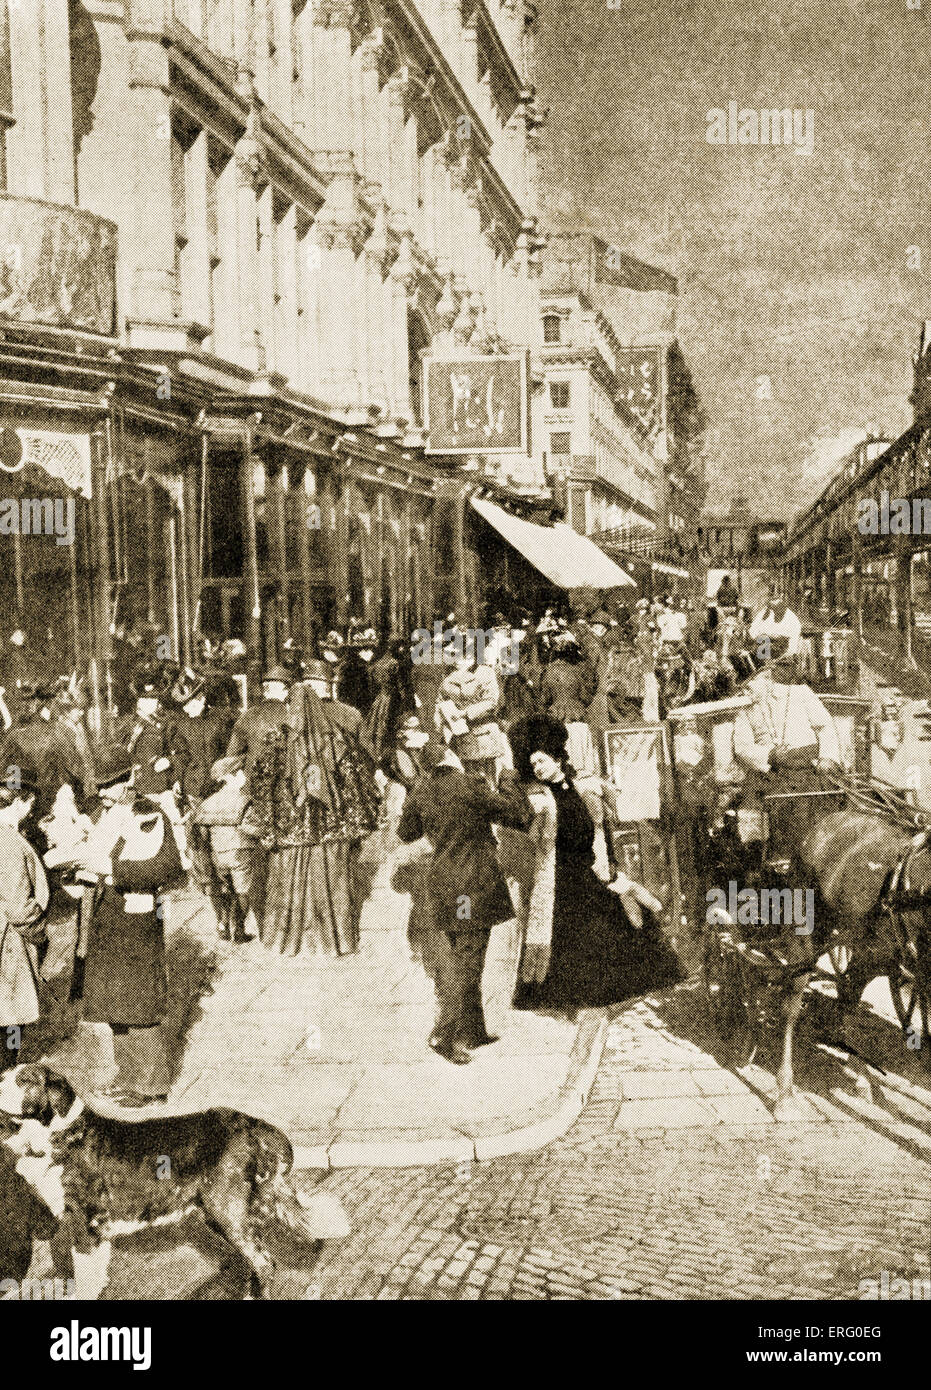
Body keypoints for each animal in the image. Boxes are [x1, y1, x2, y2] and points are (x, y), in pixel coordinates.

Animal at [0, 1061, 348, 1301]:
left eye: (24, 1080)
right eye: (6, 1076)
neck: (60, 1135)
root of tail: (253, 1124)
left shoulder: (85, 1222)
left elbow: (85, 1277)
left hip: (227, 1210)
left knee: (264, 1263)